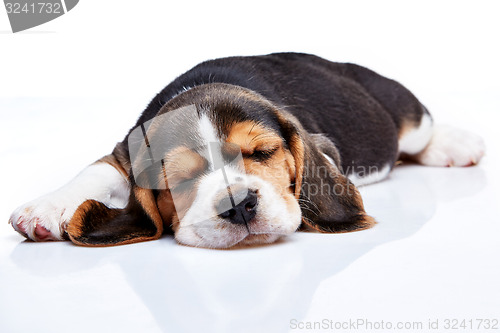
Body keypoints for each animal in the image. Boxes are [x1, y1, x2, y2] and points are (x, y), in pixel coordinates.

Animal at [7, 53, 484, 248]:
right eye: (180, 179)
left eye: (263, 153)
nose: (238, 206)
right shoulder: (124, 149)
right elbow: (97, 172)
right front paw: (45, 208)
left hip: (404, 115)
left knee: (419, 132)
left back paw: (457, 144)